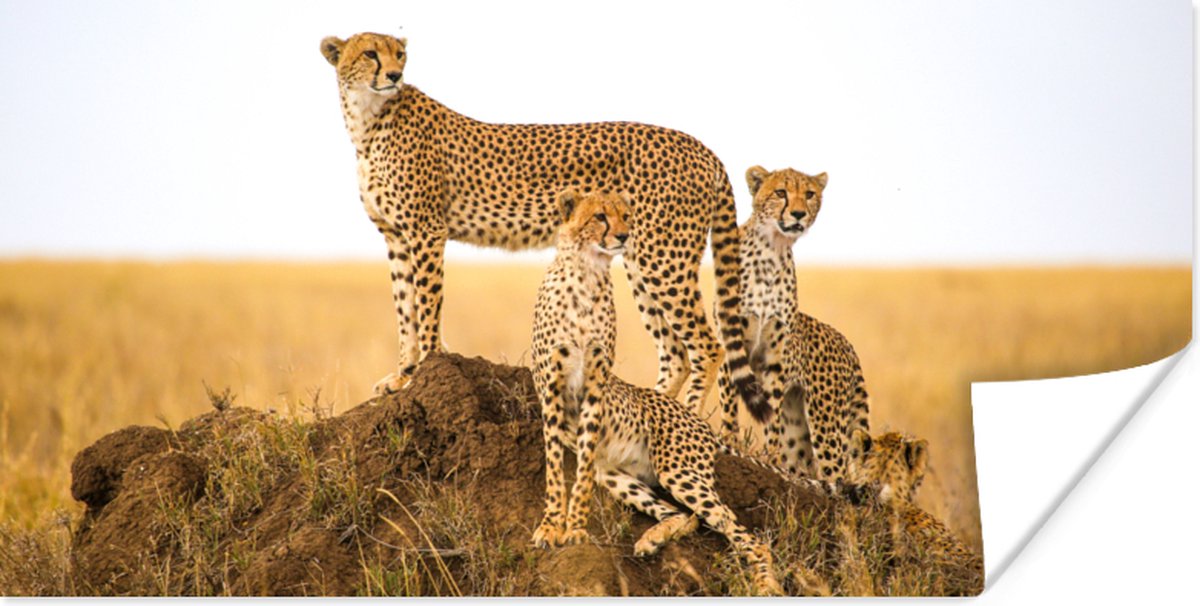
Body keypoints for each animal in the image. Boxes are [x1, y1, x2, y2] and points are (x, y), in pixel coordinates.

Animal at [318, 32, 766, 421]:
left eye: (400, 54)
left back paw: (687, 418)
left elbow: (426, 306)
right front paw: (402, 375)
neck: (368, 119)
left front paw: (423, 369)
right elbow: (404, 309)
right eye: (370, 53)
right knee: (675, 352)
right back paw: (651, 413)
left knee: (707, 346)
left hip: (663, 259)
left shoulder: (425, 230)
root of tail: (700, 146)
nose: (395, 75)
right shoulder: (395, 236)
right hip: (640, 258)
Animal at [530, 190, 785, 595]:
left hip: (679, 471)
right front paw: (551, 527)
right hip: (618, 475)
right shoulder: (552, 388)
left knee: (744, 534)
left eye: (626, 215)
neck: (586, 273)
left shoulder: (595, 387)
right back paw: (652, 539)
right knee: (687, 516)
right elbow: (556, 468)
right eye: (600, 216)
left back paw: (766, 585)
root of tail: (697, 421)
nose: (623, 236)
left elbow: (580, 474)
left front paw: (576, 531)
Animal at [717, 166, 870, 484]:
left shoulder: (775, 358)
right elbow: (729, 404)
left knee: (837, 474)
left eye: (809, 194)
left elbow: (771, 416)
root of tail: (846, 342)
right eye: (780, 192)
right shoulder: (730, 341)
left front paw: (770, 458)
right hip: (803, 427)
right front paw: (729, 442)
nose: (798, 213)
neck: (772, 250)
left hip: (826, 422)